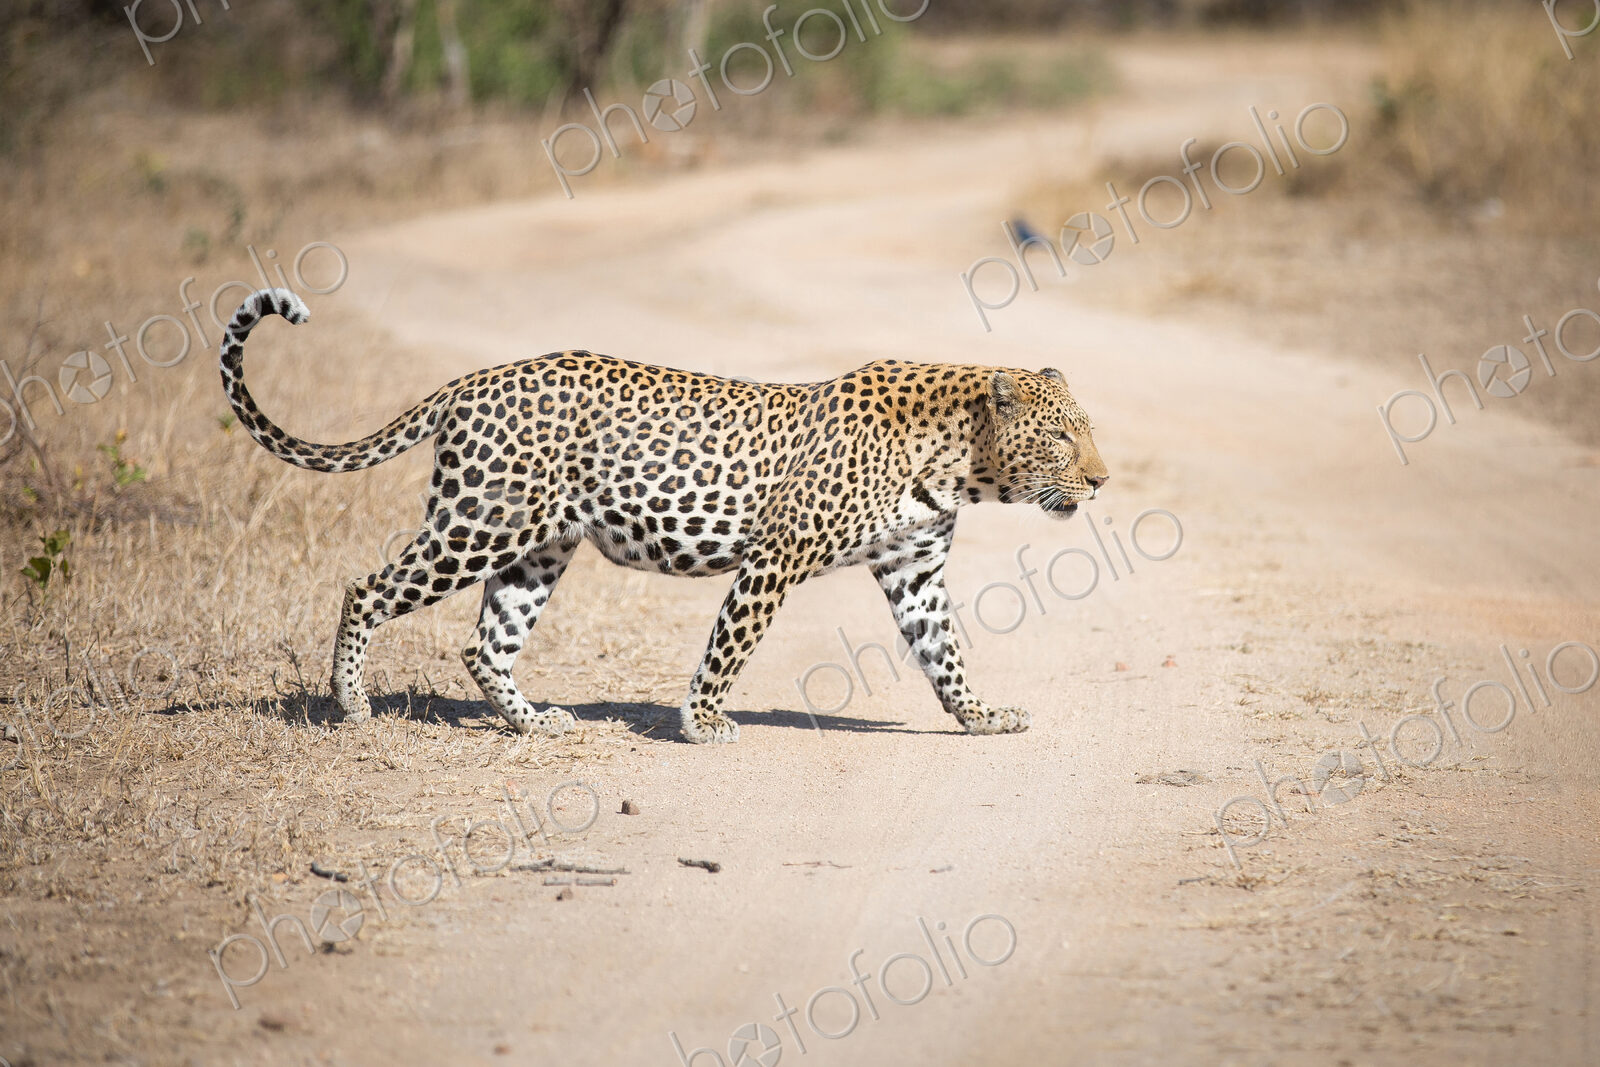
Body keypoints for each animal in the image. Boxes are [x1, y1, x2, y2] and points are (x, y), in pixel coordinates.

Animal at [219, 288, 1110, 744]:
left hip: (538, 548)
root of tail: (475, 379)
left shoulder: (914, 569)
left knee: (484, 643)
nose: (1102, 480)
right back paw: (352, 705)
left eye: (1086, 428)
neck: (959, 463)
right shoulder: (775, 558)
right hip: (480, 525)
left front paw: (983, 715)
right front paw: (703, 719)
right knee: (366, 588)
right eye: (1063, 435)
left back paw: (535, 722)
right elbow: (731, 644)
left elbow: (945, 652)